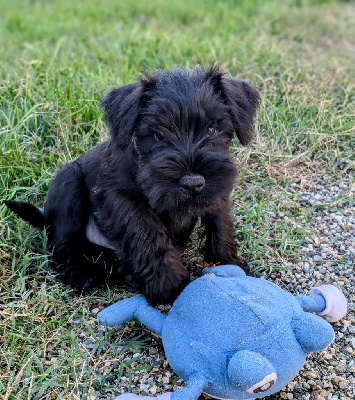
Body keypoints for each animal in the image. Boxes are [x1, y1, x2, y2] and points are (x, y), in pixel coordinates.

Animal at [5, 65, 260, 304]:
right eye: (158, 135)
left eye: (212, 128)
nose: (192, 183)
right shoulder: (119, 196)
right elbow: (145, 228)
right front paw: (167, 281)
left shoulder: (218, 187)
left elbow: (220, 221)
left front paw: (226, 262)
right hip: (69, 179)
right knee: (63, 243)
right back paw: (82, 272)